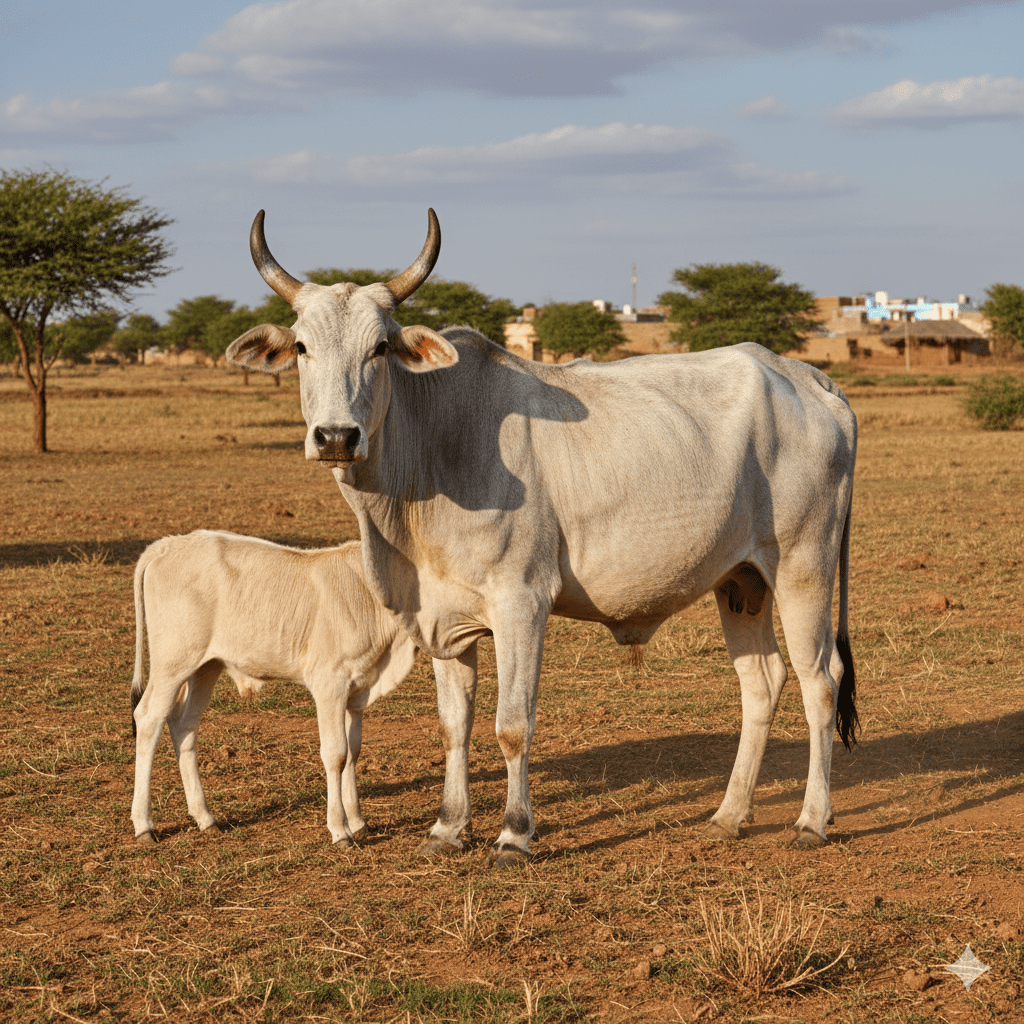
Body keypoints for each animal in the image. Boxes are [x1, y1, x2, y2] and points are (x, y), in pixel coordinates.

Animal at [130, 531, 418, 847]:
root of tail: (169, 544)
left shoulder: (357, 690)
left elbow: (353, 752)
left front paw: (357, 821)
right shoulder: (329, 684)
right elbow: (336, 753)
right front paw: (340, 830)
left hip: (206, 667)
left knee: (185, 726)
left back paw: (205, 817)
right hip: (172, 663)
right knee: (148, 719)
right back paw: (144, 825)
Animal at [226, 209, 858, 866]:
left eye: (379, 348)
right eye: (302, 346)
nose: (336, 437)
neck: (435, 444)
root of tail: (809, 378)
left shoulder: (521, 604)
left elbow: (512, 725)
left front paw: (513, 833)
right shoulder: (444, 619)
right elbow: (454, 725)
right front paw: (448, 828)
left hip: (804, 567)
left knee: (820, 682)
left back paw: (812, 820)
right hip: (742, 581)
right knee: (761, 684)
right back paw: (730, 815)